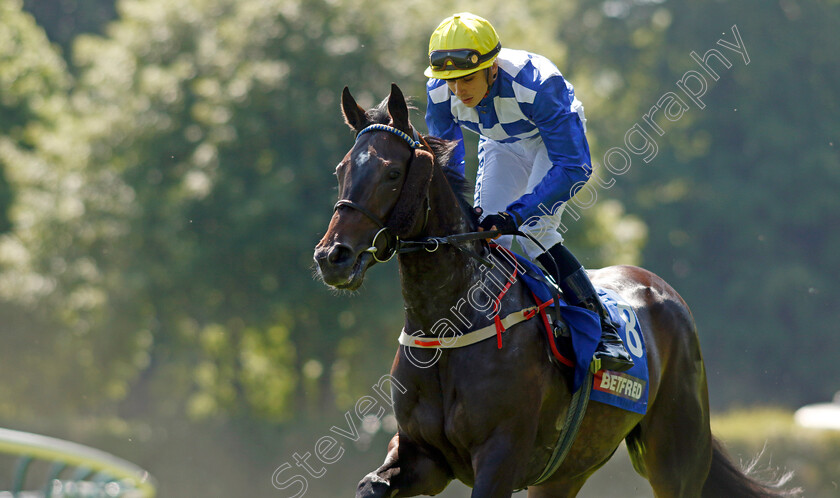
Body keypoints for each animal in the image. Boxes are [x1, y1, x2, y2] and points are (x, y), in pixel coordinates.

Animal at [312, 84, 796, 498]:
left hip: (675, 454)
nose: (332, 256)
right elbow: (371, 485)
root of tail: (662, 290)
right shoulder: (423, 456)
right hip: (567, 470)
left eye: (392, 172)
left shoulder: (501, 455)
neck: (449, 327)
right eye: (340, 170)